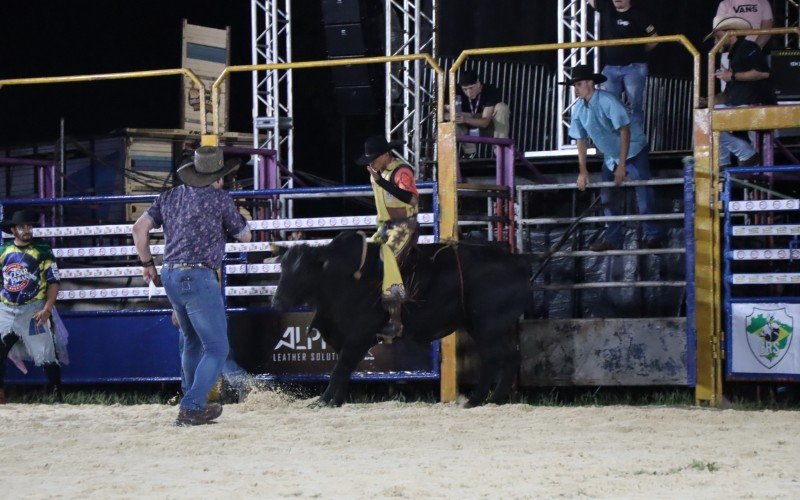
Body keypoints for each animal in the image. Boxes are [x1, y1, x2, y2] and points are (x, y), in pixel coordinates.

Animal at [274, 232, 532, 408]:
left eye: (303, 271)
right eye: (282, 268)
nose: (276, 301)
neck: (342, 277)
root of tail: (516, 263)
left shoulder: (359, 337)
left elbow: (340, 369)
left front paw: (322, 401)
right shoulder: (343, 337)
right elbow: (343, 369)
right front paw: (335, 401)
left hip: (488, 327)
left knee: (496, 359)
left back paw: (481, 399)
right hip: (486, 328)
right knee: (505, 358)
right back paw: (488, 399)